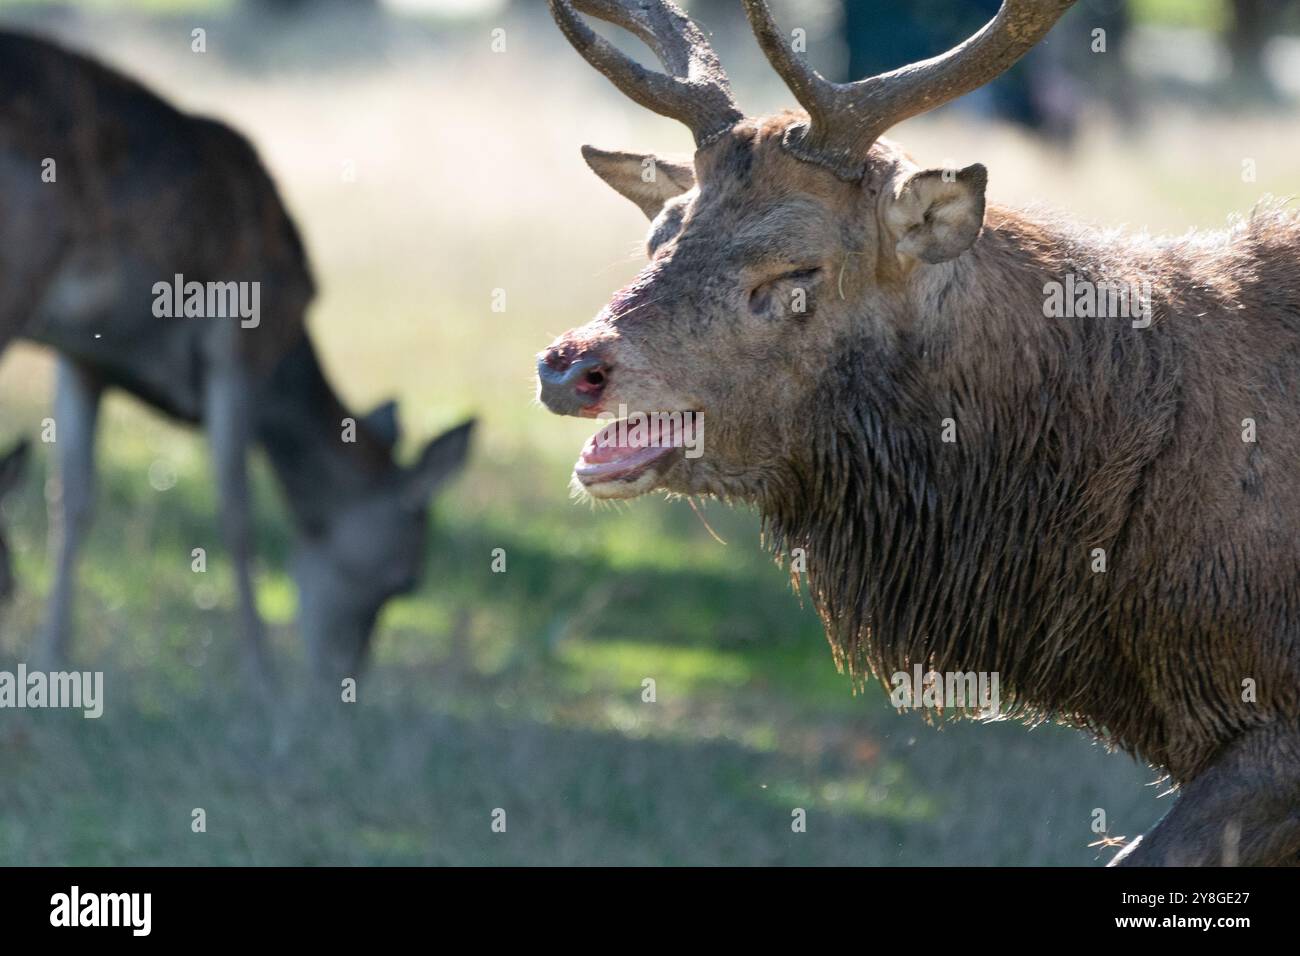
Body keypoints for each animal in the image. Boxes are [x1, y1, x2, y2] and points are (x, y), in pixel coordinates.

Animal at [0, 28, 473, 682]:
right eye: (406, 581)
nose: (341, 682)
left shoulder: (84, 361)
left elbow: (70, 503)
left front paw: (51, 659)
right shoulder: (240, 345)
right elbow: (237, 511)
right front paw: (261, 677)